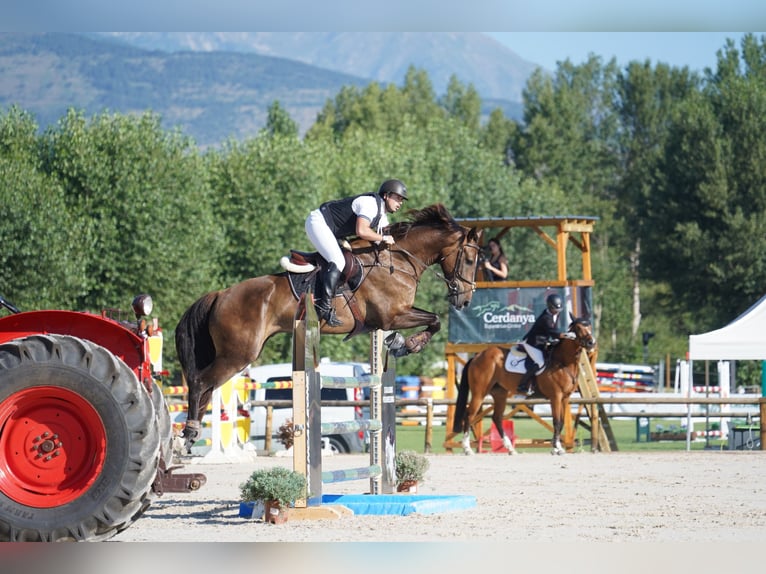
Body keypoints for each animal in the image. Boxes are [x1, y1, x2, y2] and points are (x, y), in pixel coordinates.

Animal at [177, 205, 484, 452]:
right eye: (470, 260)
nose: (465, 300)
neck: (397, 262)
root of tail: (220, 294)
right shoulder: (392, 317)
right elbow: (434, 319)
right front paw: (411, 344)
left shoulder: (394, 317)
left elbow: (434, 320)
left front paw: (400, 343)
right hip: (238, 354)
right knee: (200, 383)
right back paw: (190, 432)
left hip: (237, 354)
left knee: (206, 387)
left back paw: (190, 435)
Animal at [452, 318, 596, 456]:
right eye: (578, 328)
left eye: (589, 327)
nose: (591, 343)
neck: (563, 362)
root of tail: (477, 356)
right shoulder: (556, 396)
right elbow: (556, 421)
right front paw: (557, 449)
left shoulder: (565, 398)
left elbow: (561, 423)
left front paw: (557, 448)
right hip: (479, 393)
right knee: (469, 415)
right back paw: (467, 449)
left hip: (500, 394)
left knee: (497, 418)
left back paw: (510, 449)